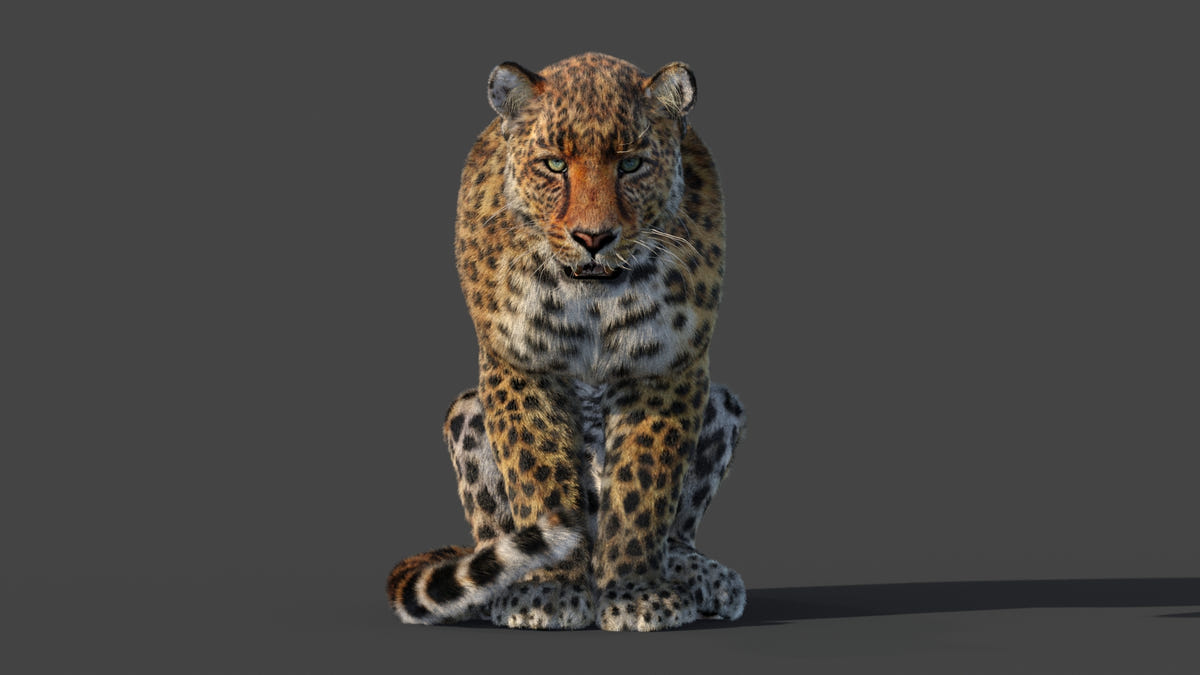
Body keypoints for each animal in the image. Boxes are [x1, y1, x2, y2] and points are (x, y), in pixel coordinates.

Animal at [387, 52, 745, 631]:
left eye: (631, 165)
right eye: (555, 165)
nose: (593, 237)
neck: (594, 299)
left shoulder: (665, 369)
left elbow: (644, 488)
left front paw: (637, 592)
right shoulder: (521, 365)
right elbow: (538, 475)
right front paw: (548, 591)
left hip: (723, 403)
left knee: (677, 530)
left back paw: (702, 575)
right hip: (466, 413)